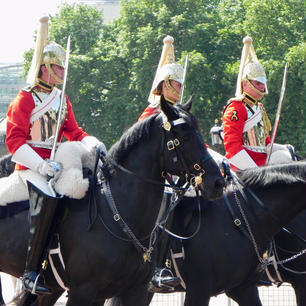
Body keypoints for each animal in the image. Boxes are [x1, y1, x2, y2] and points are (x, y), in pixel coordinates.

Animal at [0, 99, 225, 304]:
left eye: (198, 130)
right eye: (184, 134)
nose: (217, 182)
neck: (118, 214)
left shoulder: (133, 291)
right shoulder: (83, 291)